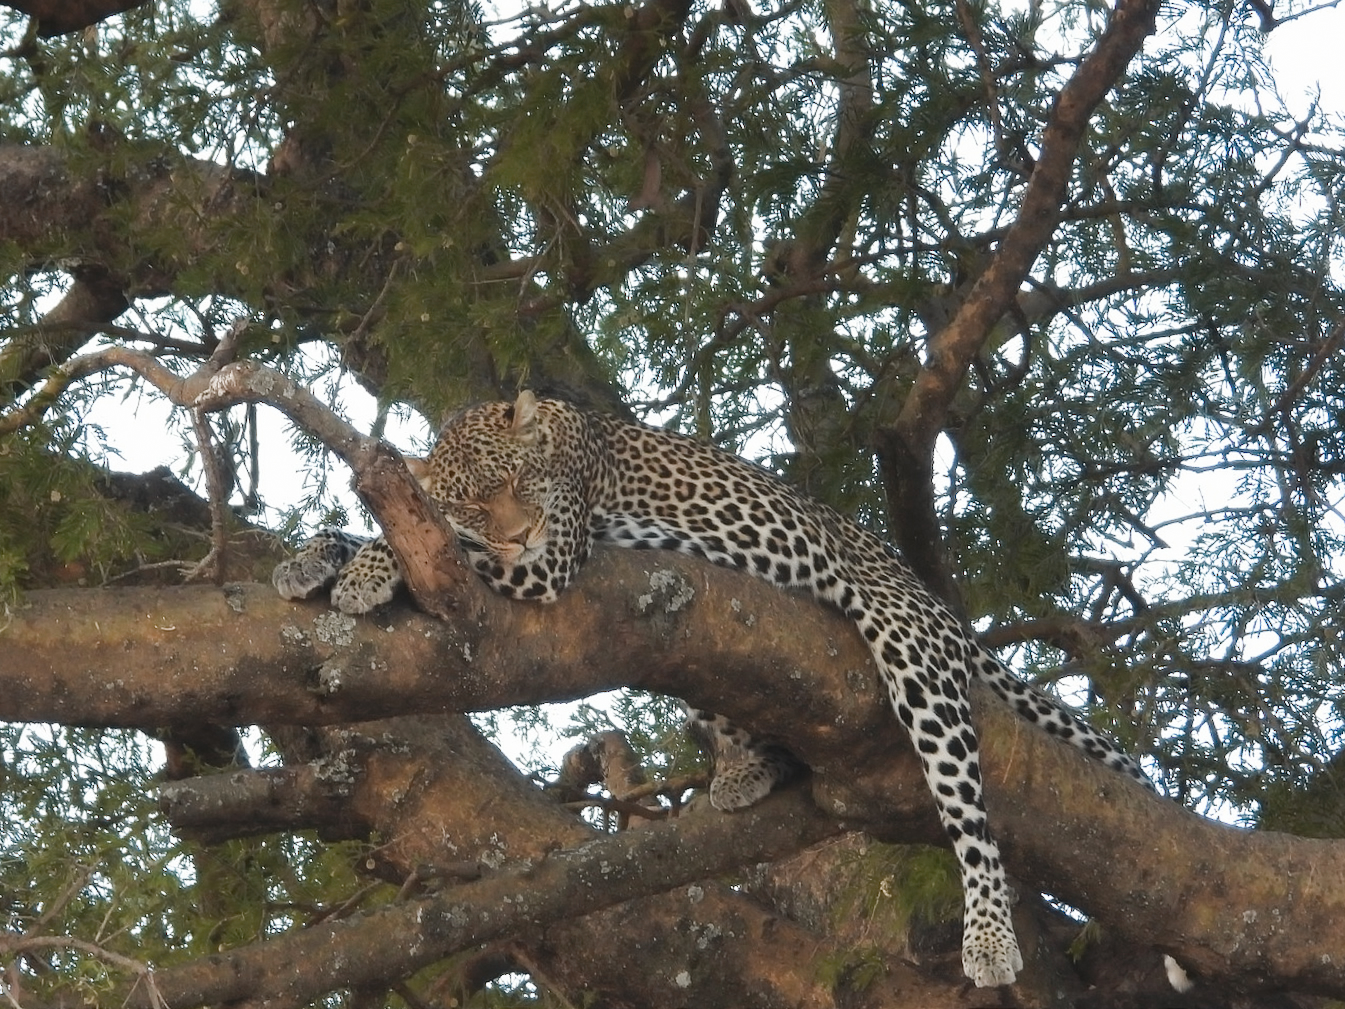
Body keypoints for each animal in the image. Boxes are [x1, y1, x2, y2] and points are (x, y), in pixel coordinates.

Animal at [273, 390, 1152, 988]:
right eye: (469, 495)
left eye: (521, 480)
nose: (516, 531)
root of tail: (938, 605)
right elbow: (400, 529)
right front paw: (309, 558)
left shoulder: (553, 559)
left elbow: (431, 546)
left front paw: (366, 569)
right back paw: (748, 769)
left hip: (910, 648)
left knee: (965, 806)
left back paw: (990, 937)